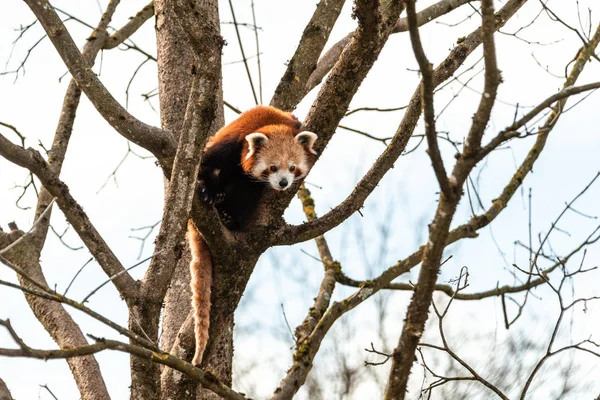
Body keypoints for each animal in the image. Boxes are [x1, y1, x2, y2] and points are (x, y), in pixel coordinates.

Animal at [188, 104, 318, 366]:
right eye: (272, 167)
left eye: (292, 167)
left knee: (246, 191)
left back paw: (229, 217)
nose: (283, 182)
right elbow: (206, 167)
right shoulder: (228, 145)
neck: (270, 121)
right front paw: (208, 190)